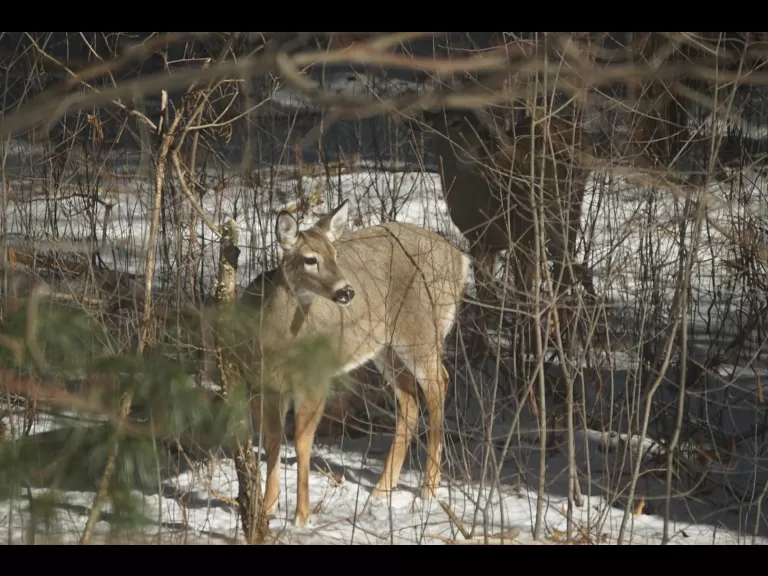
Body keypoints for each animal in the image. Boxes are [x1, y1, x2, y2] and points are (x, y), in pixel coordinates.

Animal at [241, 200, 471, 526]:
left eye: (335, 255)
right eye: (310, 259)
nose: (346, 291)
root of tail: (460, 259)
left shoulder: (316, 380)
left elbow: (301, 441)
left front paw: (301, 516)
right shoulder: (268, 385)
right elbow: (273, 440)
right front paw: (268, 506)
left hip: (420, 329)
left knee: (439, 382)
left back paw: (428, 487)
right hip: (385, 346)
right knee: (410, 399)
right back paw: (383, 487)